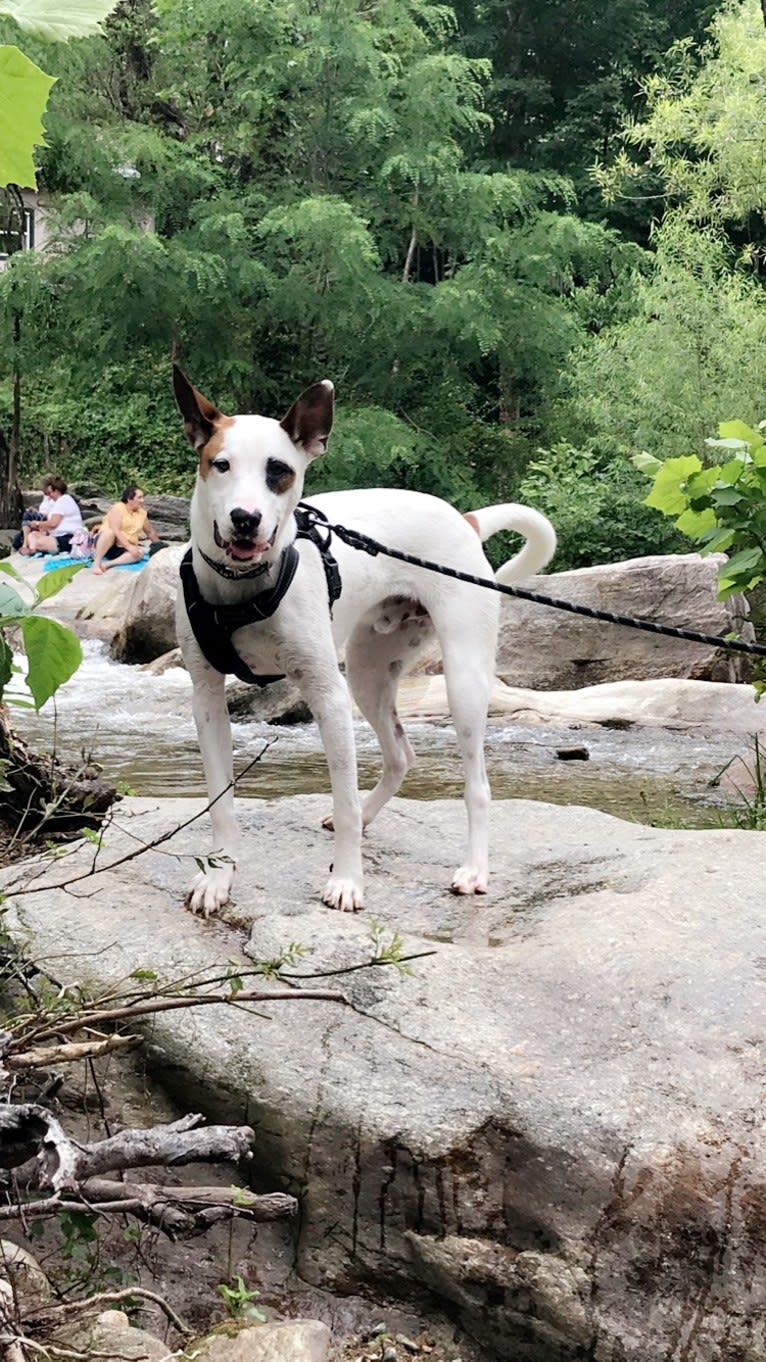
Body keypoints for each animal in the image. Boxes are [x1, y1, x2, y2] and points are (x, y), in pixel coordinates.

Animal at [173, 370, 553, 915]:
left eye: (279, 471)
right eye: (220, 464)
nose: (245, 519)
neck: (243, 587)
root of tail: (465, 519)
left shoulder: (327, 697)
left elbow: (345, 799)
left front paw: (348, 882)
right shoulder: (207, 699)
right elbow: (222, 802)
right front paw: (218, 878)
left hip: (462, 682)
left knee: (477, 786)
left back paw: (475, 869)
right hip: (369, 674)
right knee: (400, 756)